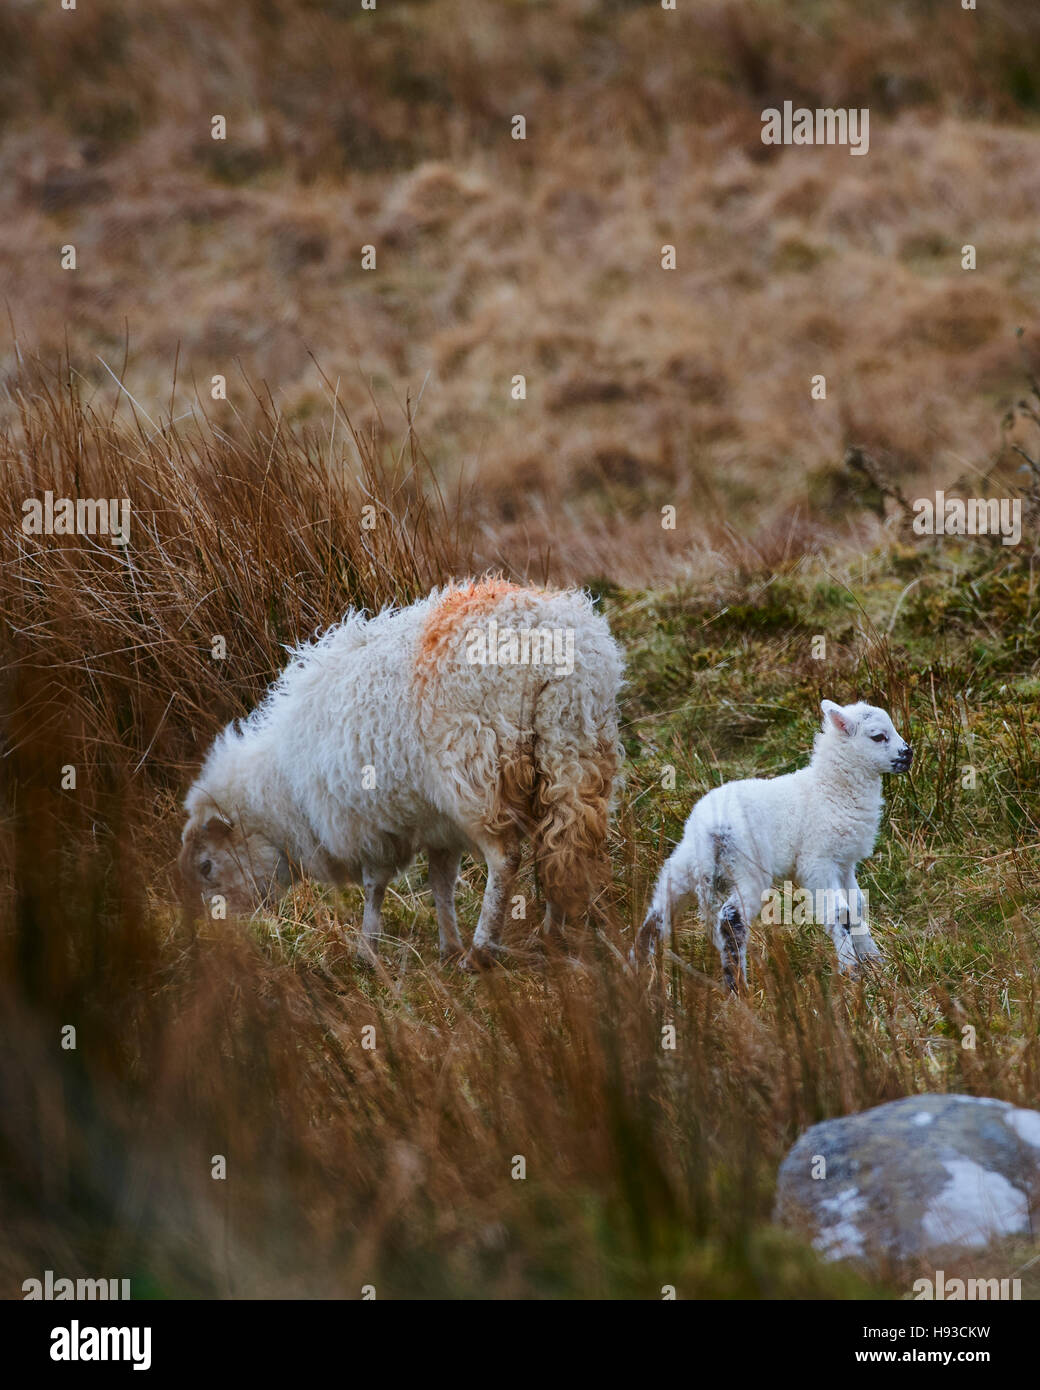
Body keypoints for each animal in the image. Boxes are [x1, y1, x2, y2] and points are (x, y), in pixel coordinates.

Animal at [179, 575, 622, 967]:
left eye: (206, 866)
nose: (217, 939)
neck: (285, 789)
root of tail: (544, 635)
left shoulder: (370, 821)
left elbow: (375, 886)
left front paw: (367, 949)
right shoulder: (437, 822)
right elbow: (441, 883)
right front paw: (447, 945)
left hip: (476, 772)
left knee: (506, 858)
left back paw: (482, 951)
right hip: (574, 748)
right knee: (562, 847)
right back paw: (551, 935)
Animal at [628, 706, 912, 989]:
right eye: (878, 736)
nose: (908, 754)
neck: (829, 788)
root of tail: (709, 829)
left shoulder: (844, 863)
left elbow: (858, 905)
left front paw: (874, 962)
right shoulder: (819, 861)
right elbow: (840, 912)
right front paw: (852, 972)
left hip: (684, 865)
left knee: (657, 916)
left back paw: (636, 971)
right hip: (746, 869)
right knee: (731, 919)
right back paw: (738, 988)